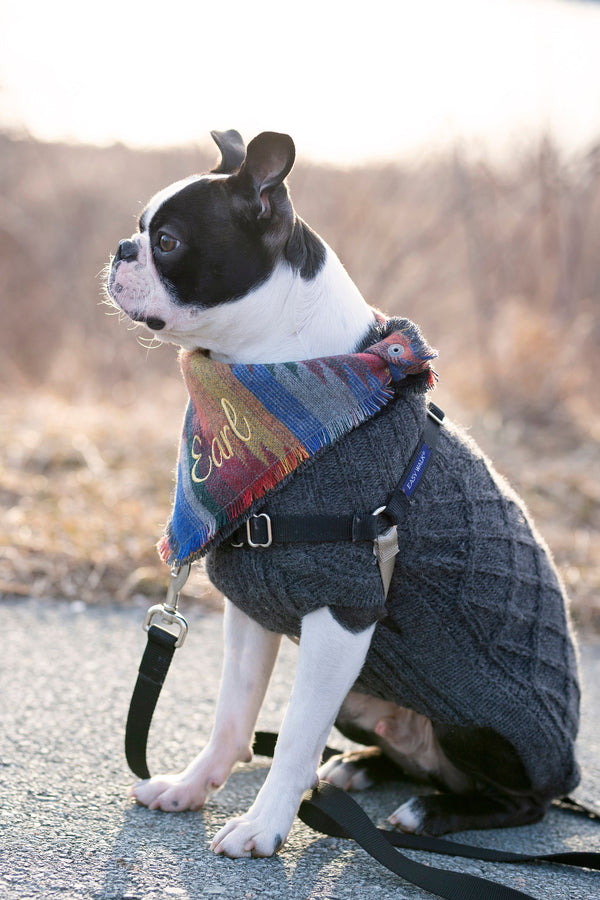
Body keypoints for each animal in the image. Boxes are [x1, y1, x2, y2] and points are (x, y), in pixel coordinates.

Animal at [105, 132, 580, 856]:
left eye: (166, 241)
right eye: (140, 231)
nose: (120, 250)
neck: (282, 372)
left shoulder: (343, 614)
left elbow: (296, 737)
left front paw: (264, 826)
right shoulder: (254, 604)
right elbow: (232, 714)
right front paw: (192, 786)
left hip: (481, 729)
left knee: (521, 802)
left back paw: (429, 811)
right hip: (364, 697)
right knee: (401, 756)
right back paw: (360, 767)